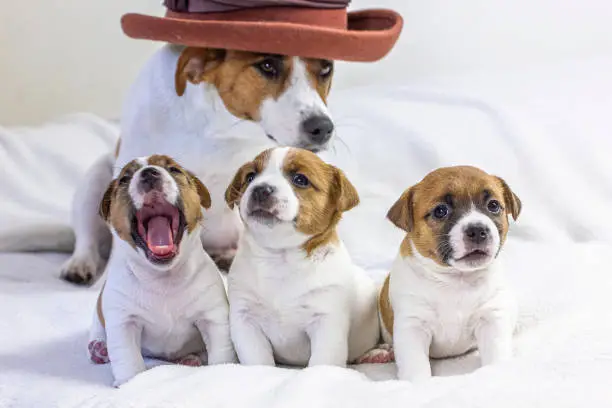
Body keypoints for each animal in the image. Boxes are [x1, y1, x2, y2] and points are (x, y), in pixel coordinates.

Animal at [88, 155, 234, 386]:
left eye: (174, 170)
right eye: (124, 179)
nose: (149, 173)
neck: (163, 277)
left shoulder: (212, 317)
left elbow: (221, 351)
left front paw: (223, 369)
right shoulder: (124, 322)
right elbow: (128, 360)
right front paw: (130, 383)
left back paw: (190, 359)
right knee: (97, 325)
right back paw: (99, 348)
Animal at [222, 148, 380, 368]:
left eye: (300, 179)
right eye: (250, 177)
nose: (260, 189)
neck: (280, 258)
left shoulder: (326, 322)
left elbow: (322, 362)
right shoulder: (245, 320)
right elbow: (258, 361)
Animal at [382, 164, 520, 380]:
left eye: (493, 205)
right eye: (440, 211)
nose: (477, 230)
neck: (456, 279)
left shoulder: (491, 319)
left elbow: (496, 352)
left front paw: (496, 372)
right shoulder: (412, 326)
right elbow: (415, 366)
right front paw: (417, 383)